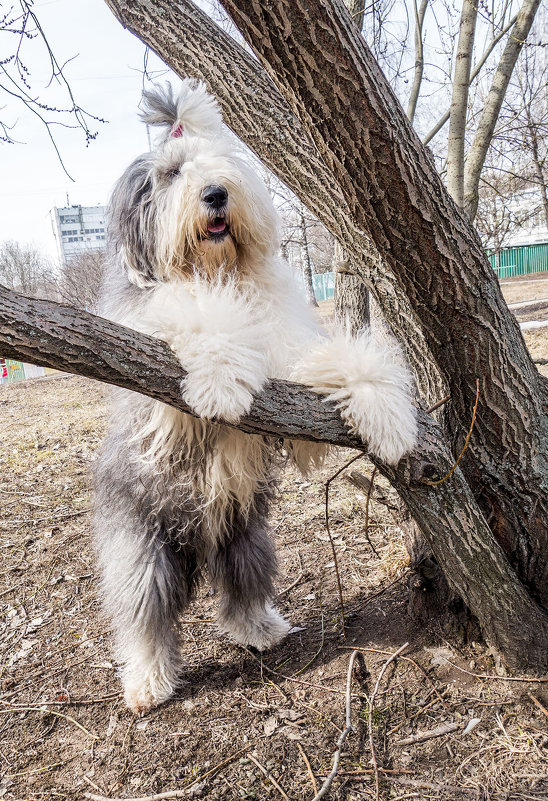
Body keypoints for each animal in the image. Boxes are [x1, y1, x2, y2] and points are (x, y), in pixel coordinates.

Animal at [95, 81, 416, 712]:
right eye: (171, 173)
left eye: (223, 163)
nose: (217, 194)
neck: (220, 272)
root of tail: (196, 541)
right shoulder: (150, 367)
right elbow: (203, 322)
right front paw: (222, 384)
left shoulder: (289, 370)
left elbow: (331, 366)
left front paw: (388, 415)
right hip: (144, 540)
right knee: (144, 613)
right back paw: (147, 682)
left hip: (247, 533)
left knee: (240, 588)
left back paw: (260, 628)